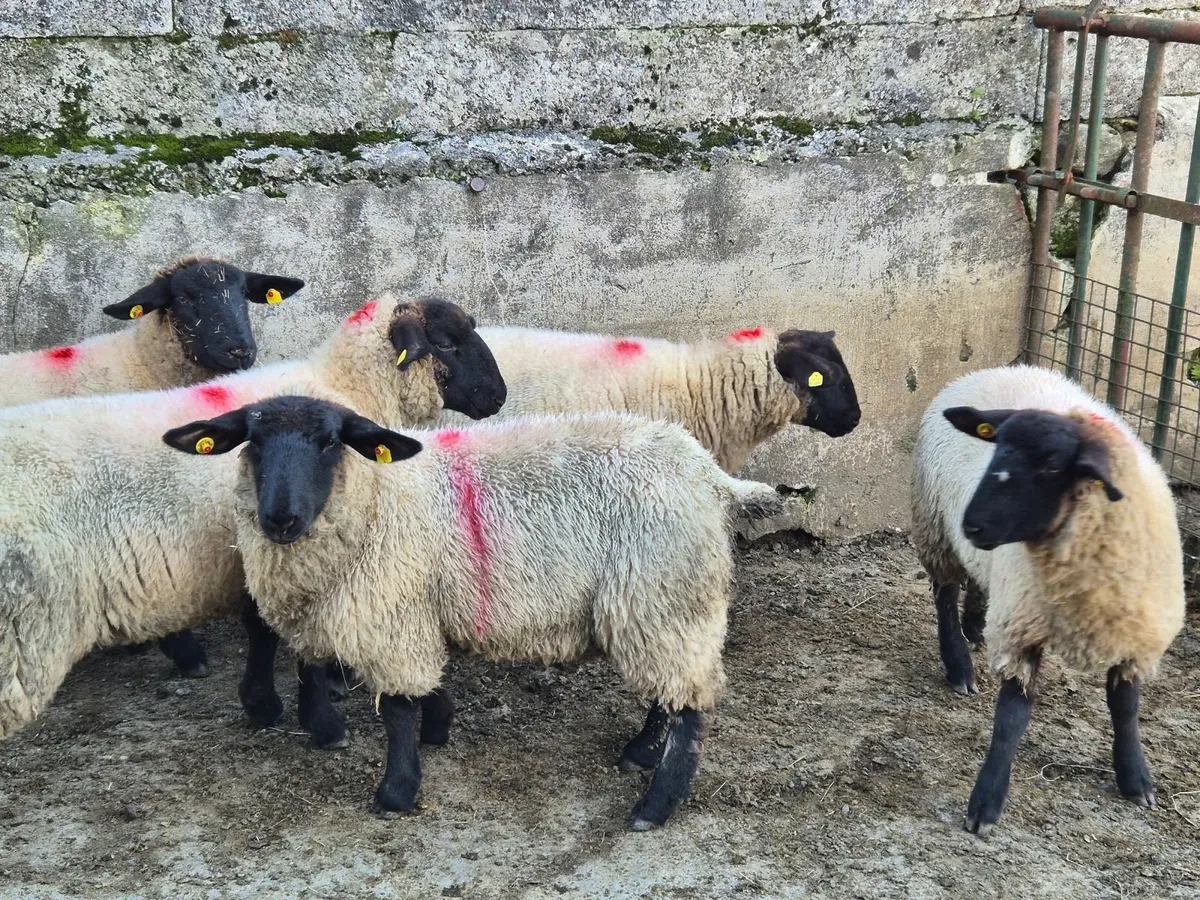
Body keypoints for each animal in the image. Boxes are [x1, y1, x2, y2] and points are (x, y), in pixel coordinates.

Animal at [0, 296, 505, 749]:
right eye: (445, 342)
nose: (499, 396)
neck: (346, 385)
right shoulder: (271, 551)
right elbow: (274, 637)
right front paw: (311, 715)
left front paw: (272, 700)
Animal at [164, 395, 792, 830]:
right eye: (252, 442)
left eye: (330, 441)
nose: (280, 520)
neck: (374, 497)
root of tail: (711, 473)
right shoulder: (412, 605)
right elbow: (407, 683)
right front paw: (434, 726)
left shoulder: (393, 615)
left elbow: (397, 710)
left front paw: (396, 791)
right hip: (658, 605)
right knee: (670, 692)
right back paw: (639, 753)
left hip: (665, 593)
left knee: (689, 707)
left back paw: (656, 804)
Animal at [910, 364, 1185, 836]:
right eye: (997, 446)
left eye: (1054, 464)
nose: (973, 524)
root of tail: (1006, 367)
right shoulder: (1022, 628)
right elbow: (1011, 718)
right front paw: (986, 802)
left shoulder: (1134, 635)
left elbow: (1126, 708)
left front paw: (1136, 778)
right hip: (935, 526)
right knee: (944, 594)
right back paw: (959, 664)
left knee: (977, 583)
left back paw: (974, 625)